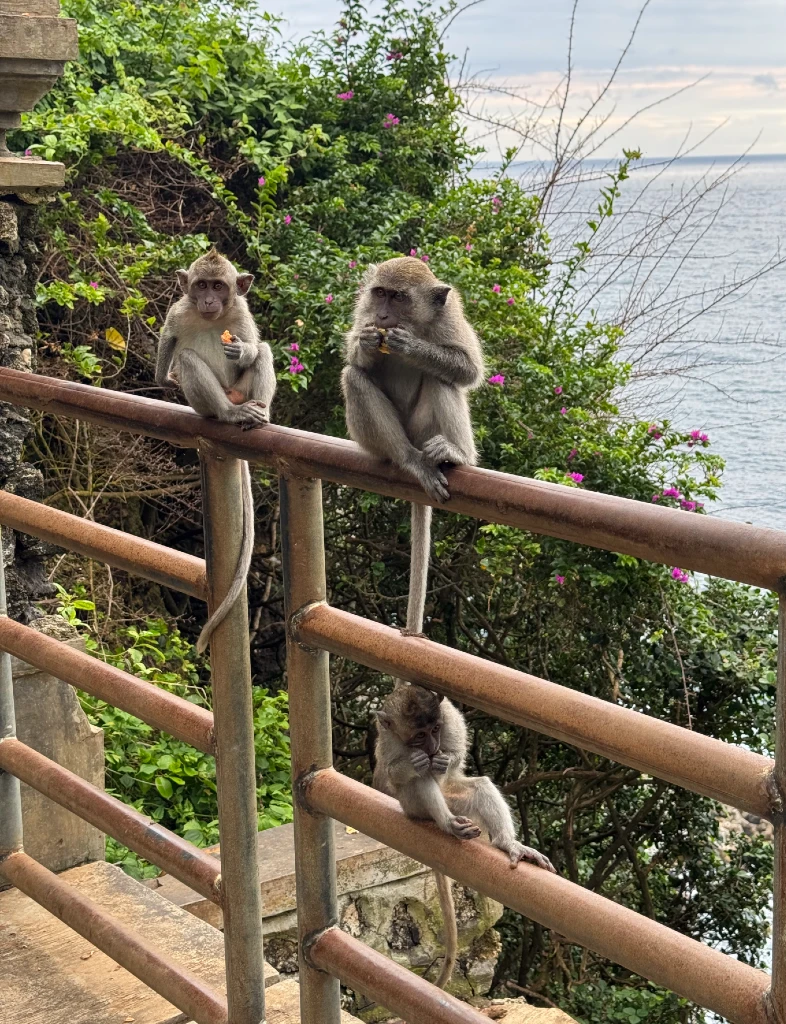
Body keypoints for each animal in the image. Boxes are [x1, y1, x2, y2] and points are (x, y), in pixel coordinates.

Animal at [156, 249, 276, 653]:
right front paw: (165, 377)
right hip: (206, 403)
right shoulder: (178, 310)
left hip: (244, 388)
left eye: (220, 287)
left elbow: (254, 343)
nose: (209, 300)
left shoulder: (240, 313)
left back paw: (258, 415)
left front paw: (243, 348)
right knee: (189, 359)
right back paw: (228, 414)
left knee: (265, 351)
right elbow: (169, 347)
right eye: (202, 285)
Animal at [342, 256, 484, 642]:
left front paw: (411, 346)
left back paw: (457, 454)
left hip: (425, 429)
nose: (384, 317)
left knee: (442, 379)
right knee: (353, 378)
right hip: (377, 438)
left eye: (399, 298)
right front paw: (367, 343)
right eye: (380, 294)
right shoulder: (364, 311)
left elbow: (468, 369)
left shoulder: (450, 315)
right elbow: (357, 360)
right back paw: (408, 460)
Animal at [374, 684, 555, 989]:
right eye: (419, 735)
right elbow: (394, 772)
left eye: (435, 729)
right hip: (413, 807)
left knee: (480, 786)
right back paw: (448, 824)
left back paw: (506, 843)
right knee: (421, 780)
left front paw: (445, 758)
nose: (433, 748)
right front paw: (414, 762)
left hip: (456, 796)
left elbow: (458, 751)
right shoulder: (386, 736)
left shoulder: (447, 715)